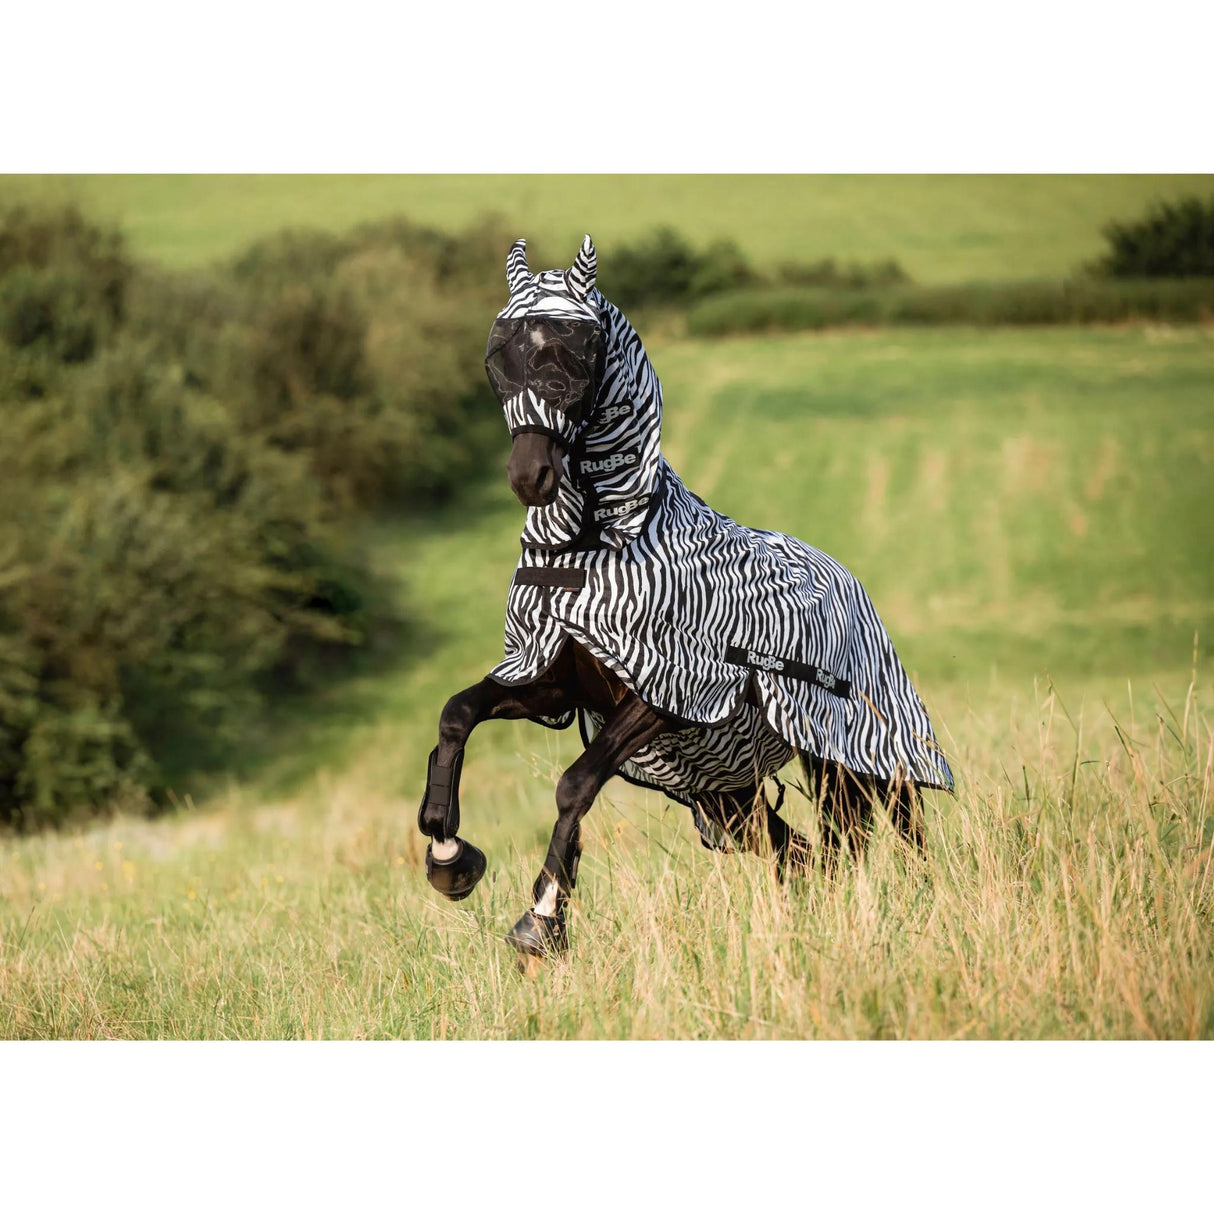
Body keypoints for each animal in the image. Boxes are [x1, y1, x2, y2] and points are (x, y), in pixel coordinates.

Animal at [417, 235, 954, 959]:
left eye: (577, 356)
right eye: (499, 356)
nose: (531, 477)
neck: (597, 546)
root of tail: (846, 579)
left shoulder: (665, 695)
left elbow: (575, 783)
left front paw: (543, 917)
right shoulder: (553, 682)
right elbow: (458, 714)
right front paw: (447, 854)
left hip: (865, 757)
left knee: (904, 834)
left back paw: (930, 909)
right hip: (731, 797)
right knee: (806, 855)